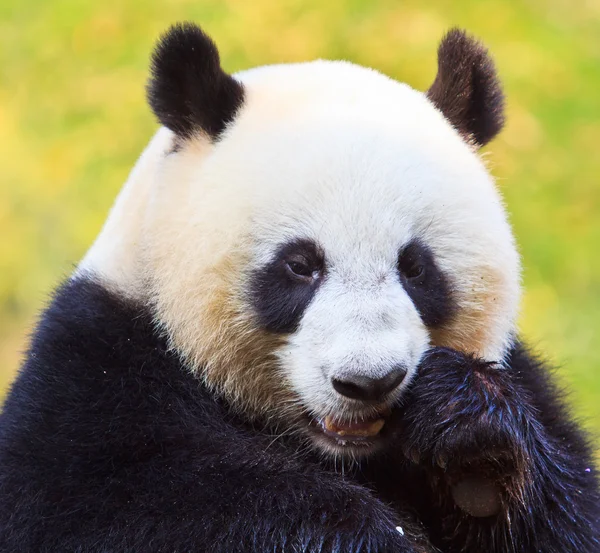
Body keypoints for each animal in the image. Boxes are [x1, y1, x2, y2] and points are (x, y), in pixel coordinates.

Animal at [1, 22, 600, 552]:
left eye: (415, 267)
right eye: (300, 265)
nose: (369, 382)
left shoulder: (534, 391)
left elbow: (569, 512)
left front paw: (465, 429)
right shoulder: (94, 381)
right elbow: (126, 504)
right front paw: (369, 532)